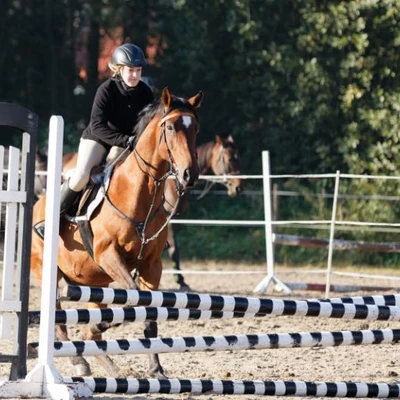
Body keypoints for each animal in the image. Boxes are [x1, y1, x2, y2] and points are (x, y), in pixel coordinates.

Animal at [29, 86, 203, 378]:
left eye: (195, 128)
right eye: (169, 127)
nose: (190, 175)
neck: (139, 193)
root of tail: (36, 205)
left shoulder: (151, 265)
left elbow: (149, 311)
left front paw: (156, 370)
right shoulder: (108, 255)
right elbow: (133, 301)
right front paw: (93, 328)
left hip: (94, 281)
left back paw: (109, 366)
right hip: (47, 272)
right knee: (57, 320)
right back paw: (79, 361)